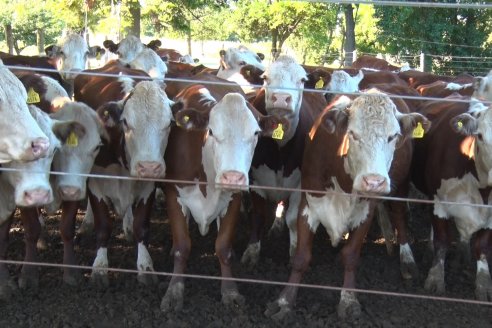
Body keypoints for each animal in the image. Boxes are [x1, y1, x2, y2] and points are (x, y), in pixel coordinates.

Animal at [161, 84, 284, 312]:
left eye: (256, 133)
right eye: (211, 131)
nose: (233, 177)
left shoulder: (233, 199)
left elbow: (223, 247)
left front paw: (230, 292)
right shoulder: (174, 193)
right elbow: (183, 246)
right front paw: (174, 291)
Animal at [266, 89, 430, 320]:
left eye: (393, 136)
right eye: (352, 134)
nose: (374, 182)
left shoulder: (366, 211)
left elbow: (351, 256)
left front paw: (348, 300)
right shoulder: (309, 204)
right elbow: (301, 257)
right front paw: (284, 302)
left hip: (402, 184)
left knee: (399, 215)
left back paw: (407, 259)